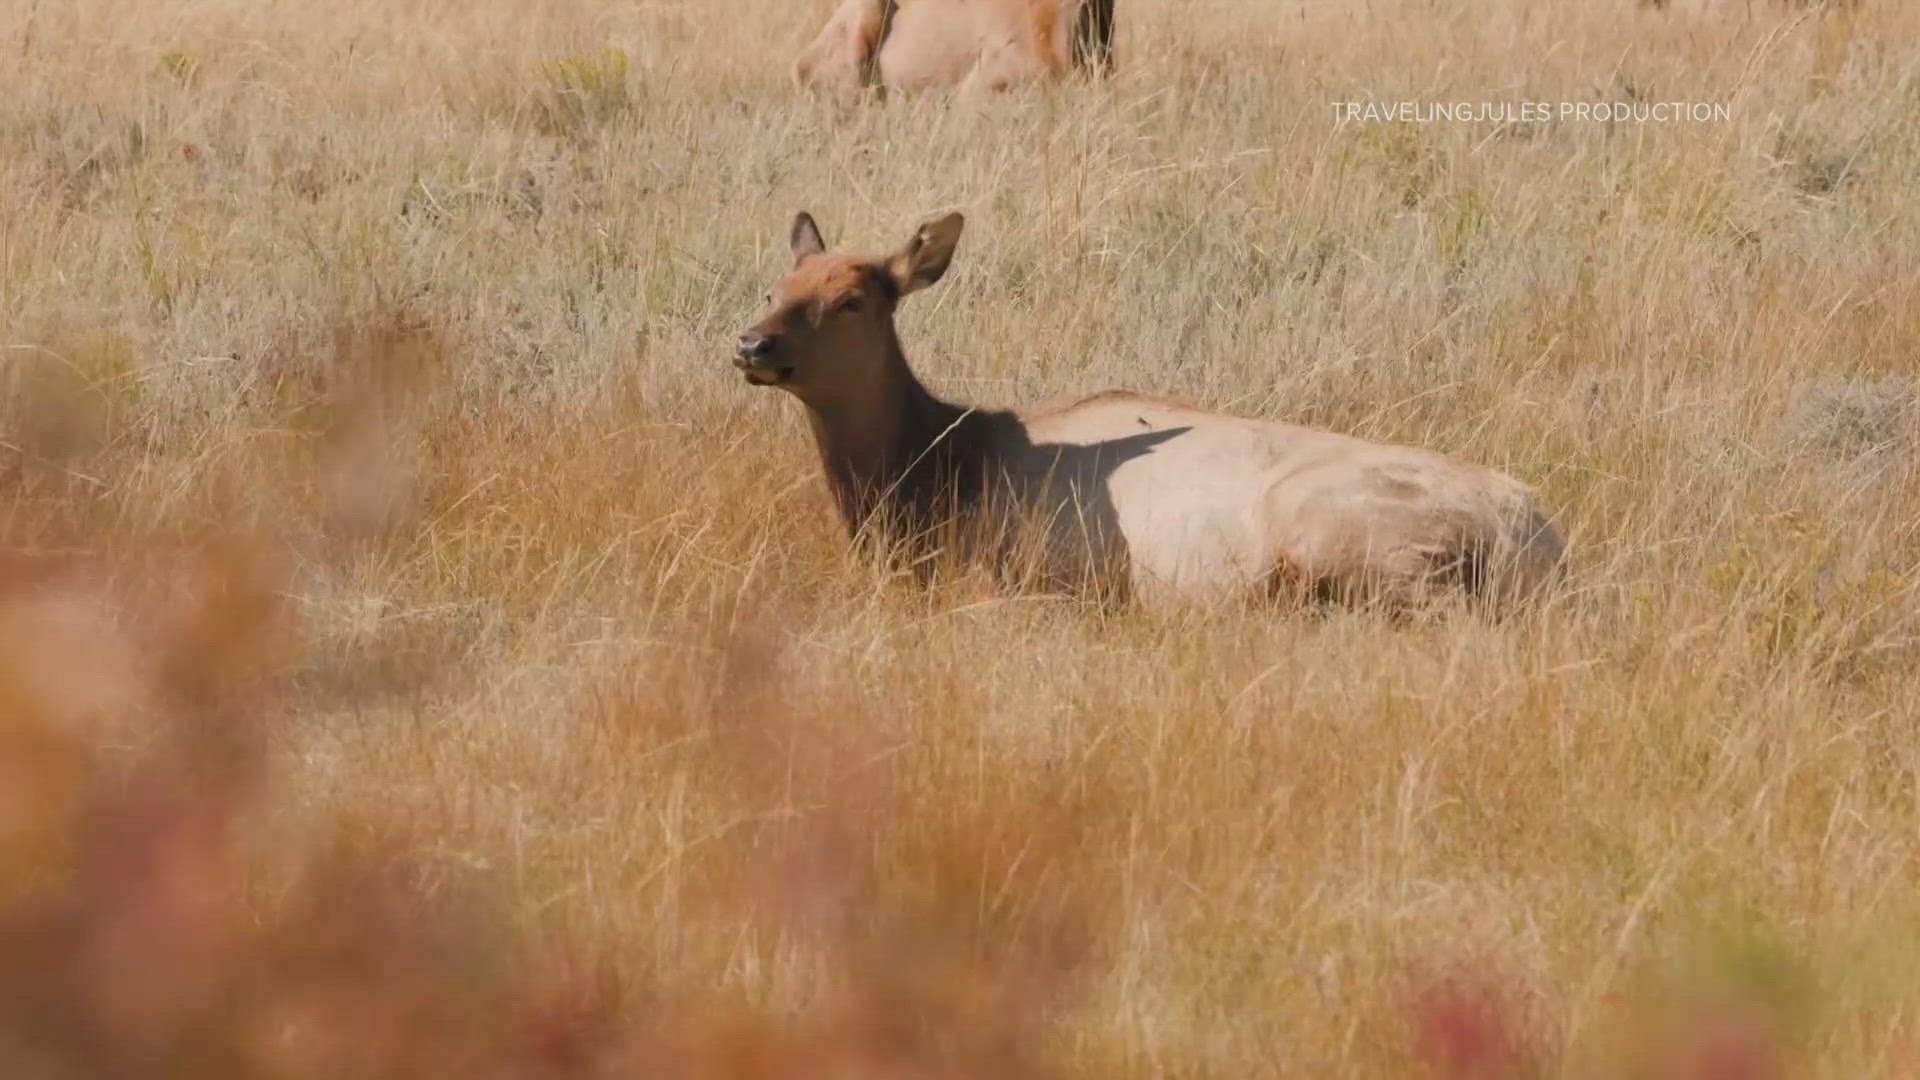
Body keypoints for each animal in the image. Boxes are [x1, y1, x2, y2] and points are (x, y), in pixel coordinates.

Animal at [733, 210, 1559, 607]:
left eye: (851, 300)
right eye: (775, 288)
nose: (750, 342)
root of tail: (1540, 540)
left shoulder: (1039, 575)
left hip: (1346, 531)